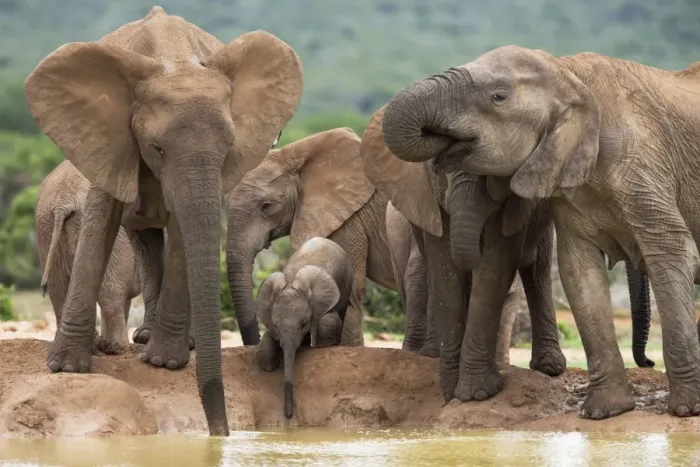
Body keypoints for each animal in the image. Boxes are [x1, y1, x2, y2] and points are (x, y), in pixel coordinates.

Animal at [255, 236, 353, 419]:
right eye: (276, 325)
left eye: (304, 324)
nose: (288, 415)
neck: (292, 279)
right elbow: (266, 340)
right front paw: (269, 367)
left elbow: (326, 319)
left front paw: (325, 345)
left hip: (349, 280)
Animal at [377, 45, 700, 420]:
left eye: (498, 96)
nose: (647, 363)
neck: (567, 72)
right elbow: (579, 271)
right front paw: (604, 412)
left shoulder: (643, 163)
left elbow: (672, 251)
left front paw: (687, 410)